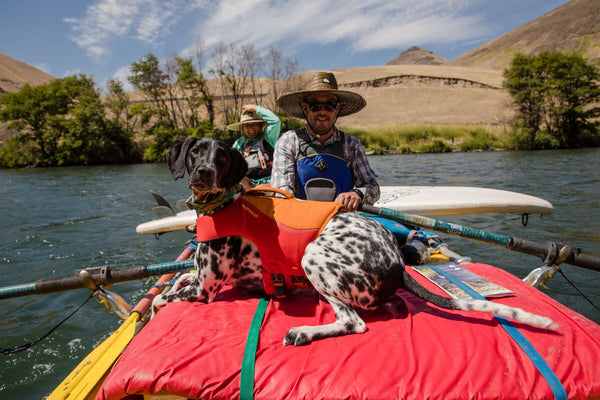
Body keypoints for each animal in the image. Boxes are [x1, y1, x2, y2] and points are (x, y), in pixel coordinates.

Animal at [152, 138, 556, 346]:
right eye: (195, 152)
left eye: (221, 156)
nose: (203, 173)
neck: (224, 201)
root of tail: (398, 262)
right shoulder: (197, 277)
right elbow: (174, 282)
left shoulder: (204, 290)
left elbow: (161, 297)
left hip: (314, 256)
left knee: (354, 323)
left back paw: (304, 332)